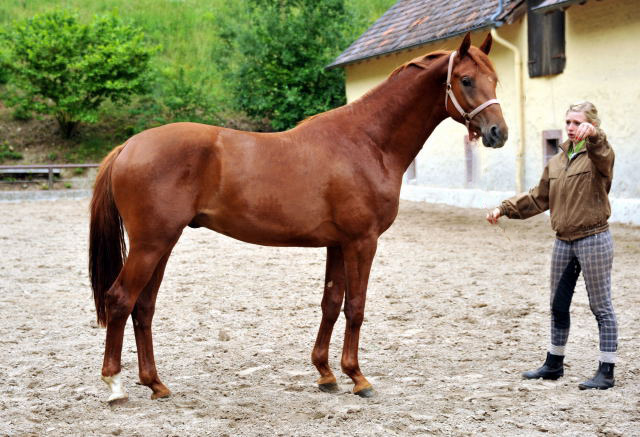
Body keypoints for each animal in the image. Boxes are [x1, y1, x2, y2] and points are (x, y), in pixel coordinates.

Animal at [90, 34, 508, 402]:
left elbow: (331, 303)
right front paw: (358, 377)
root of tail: (129, 145)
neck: (367, 142)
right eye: (466, 80)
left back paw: (156, 384)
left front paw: (326, 374)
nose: (497, 133)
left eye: (495, 79)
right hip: (151, 243)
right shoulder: (362, 241)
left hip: (163, 243)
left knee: (143, 307)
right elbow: (356, 307)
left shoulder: (338, 244)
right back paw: (114, 385)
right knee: (120, 300)